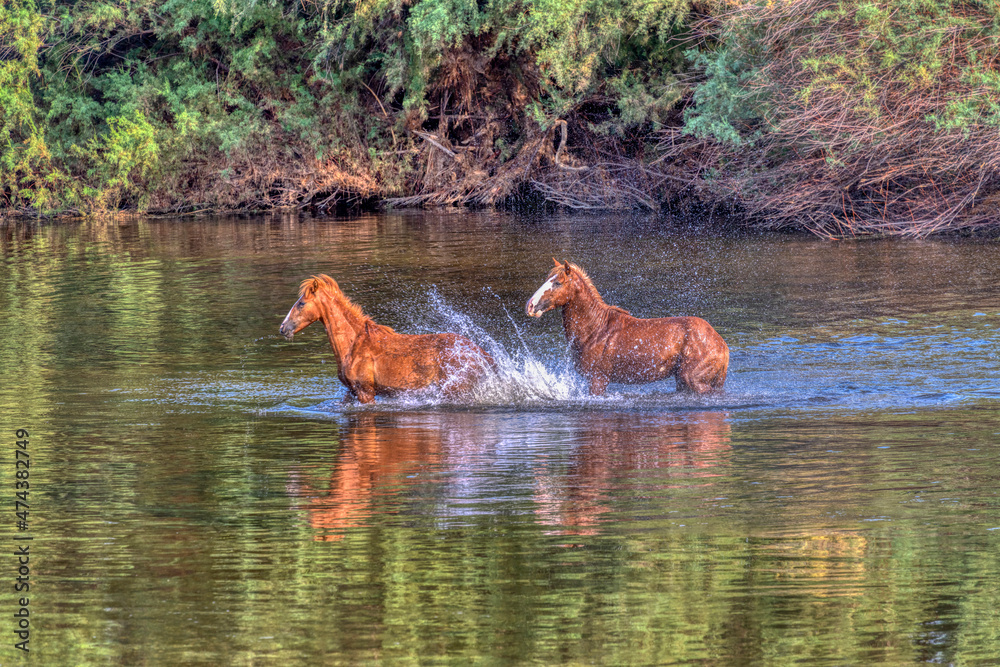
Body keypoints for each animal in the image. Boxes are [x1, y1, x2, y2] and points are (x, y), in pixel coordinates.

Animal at [280, 274, 495, 403]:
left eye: (301, 303)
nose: (283, 328)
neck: (354, 345)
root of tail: (482, 353)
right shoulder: (351, 391)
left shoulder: (366, 392)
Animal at [525, 259, 729, 395]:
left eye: (557, 282)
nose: (530, 306)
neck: (593, 331)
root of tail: (722, 346)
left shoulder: (598, 379)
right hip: (683, 379)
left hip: (693, 379)